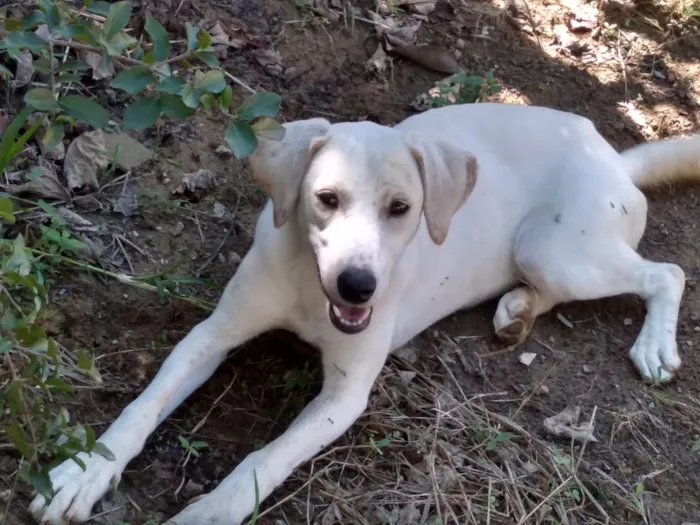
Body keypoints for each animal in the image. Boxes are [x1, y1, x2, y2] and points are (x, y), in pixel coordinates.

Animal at [31, 103, 700, 524]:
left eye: (402, 208)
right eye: (326, 199)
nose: (358, 288)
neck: (309, 287)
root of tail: (612, 157)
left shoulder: (345, 395)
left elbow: (265, 458)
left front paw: (212, 512)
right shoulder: (212, 334)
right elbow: (144, 406)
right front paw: (83, 474)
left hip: (557, 249)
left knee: (665, 272)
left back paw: (651, 346)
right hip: (549, 254)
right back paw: (517, 308)